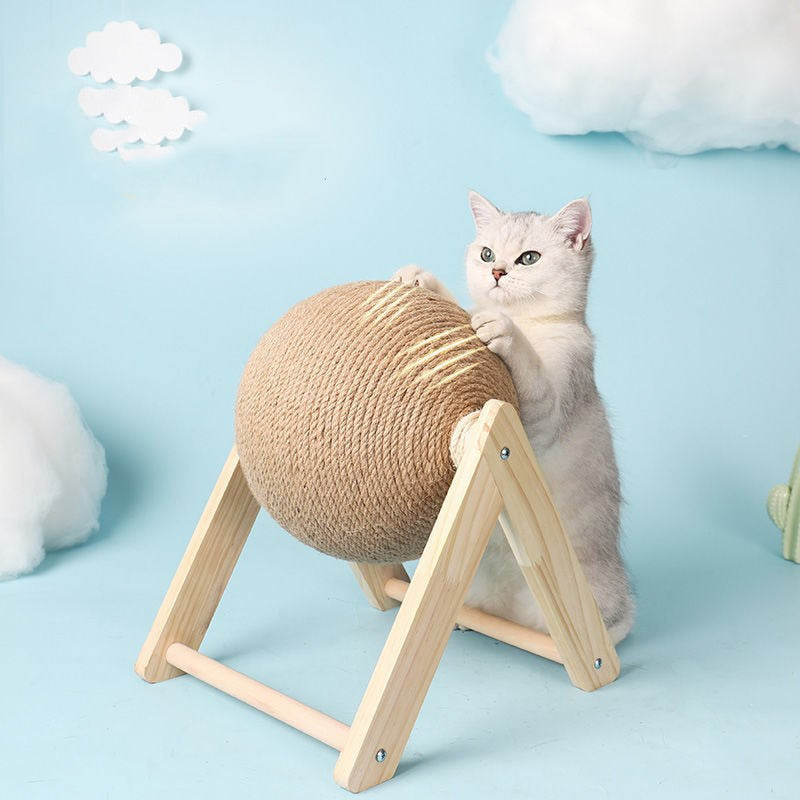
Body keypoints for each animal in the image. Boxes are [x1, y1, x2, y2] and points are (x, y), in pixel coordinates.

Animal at [390, 192, 636, 644]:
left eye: (529, 258)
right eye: (486, 253)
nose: (498, 272)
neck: (527, 320)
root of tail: (510, 618)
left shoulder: (547, 411)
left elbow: (530, 370)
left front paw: (502, 329)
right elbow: (461, 307)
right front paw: (419, 279)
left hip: (595, 598)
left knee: (617, 624)